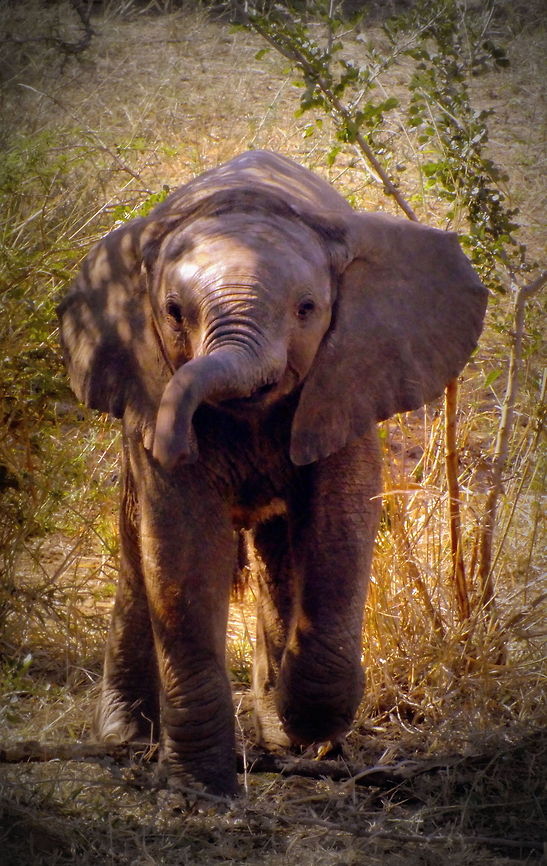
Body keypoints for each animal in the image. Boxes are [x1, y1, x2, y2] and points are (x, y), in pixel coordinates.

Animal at [58, 149, 487, 797]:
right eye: (173, 313)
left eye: (307, 309)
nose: (175, 440)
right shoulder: (150, 383)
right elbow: (181, 549)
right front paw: (203, 789)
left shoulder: (348, 378)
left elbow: (340, 527)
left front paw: (304, 726)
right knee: (140, 552)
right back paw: (128, 740)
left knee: (280, 551)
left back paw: (283, 735)